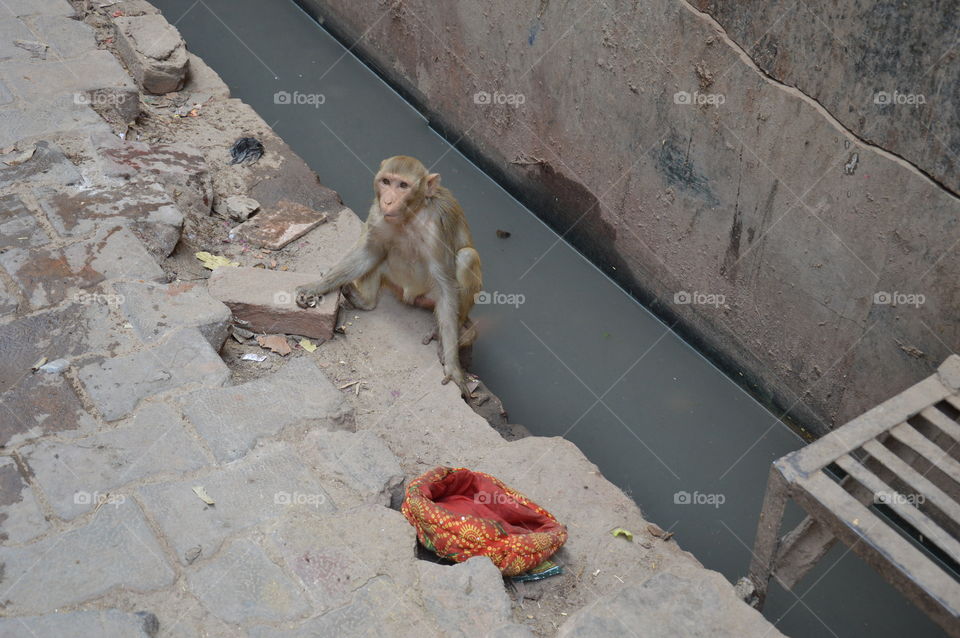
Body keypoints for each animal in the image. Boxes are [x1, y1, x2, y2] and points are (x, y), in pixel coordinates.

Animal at [295, 156, 483, 397]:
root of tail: (410, 297)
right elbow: (370, 252)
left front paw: (453, 367)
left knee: (467, 257)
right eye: (386, 181)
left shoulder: (436, 231)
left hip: (430, 297)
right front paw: (316, 287)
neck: (410, 217)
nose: (388, 201)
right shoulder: (378, 214)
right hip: (394, 283)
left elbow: (445, 284)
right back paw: (364, 300)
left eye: (403, 185)